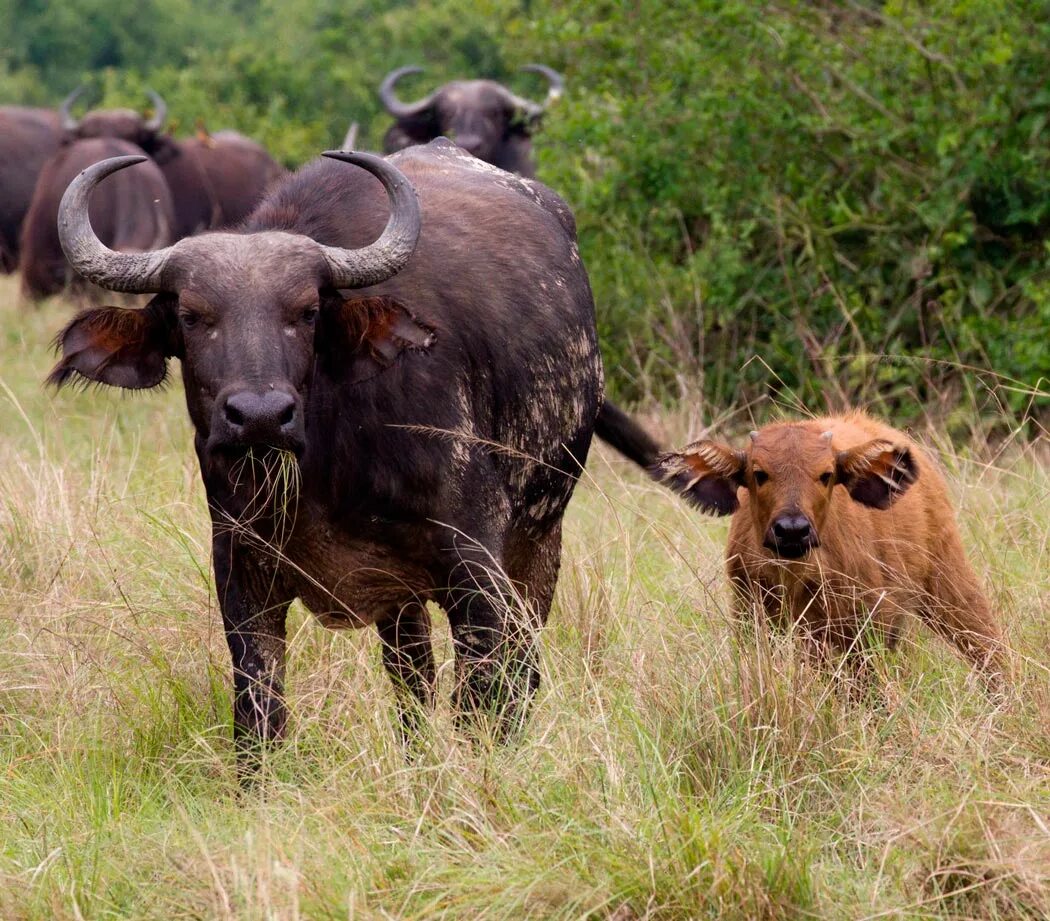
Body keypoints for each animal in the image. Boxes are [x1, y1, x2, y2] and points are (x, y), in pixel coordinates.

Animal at [49, 139, 604, 764]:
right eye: (191, 316)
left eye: (307, 312)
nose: (260, 415)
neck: (323, 470)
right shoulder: (244, 579)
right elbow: (259, 718)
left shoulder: (477, 572)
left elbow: (484, 699)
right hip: (403, 603)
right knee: (412, 678)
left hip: (539, 540)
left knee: (520, 667)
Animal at [651, 413, 1003, 680]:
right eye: (758, 473)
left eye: (827, 474)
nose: (792, 530)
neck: (795, 576)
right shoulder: (754, 619)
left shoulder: (864, 627)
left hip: (948, 580)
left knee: (986, 645)